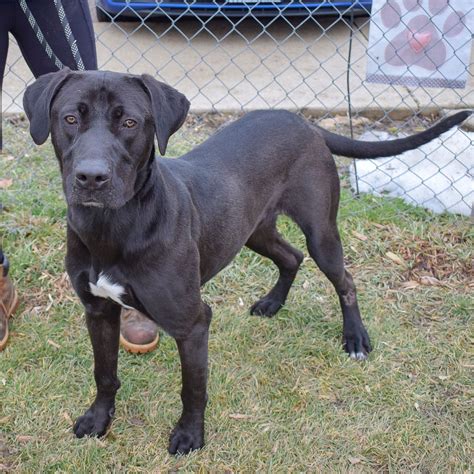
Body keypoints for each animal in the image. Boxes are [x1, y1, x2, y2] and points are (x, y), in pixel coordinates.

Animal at [23, 69, 470, 452]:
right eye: (70, 118)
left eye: (130, 123)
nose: (90, 177)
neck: (112, 228)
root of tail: (301, 121)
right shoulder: (97, 310)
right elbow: (104, 374)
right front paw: (99, 420)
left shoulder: (192, 323)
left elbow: (193, 387)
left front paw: (190, 436)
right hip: (253, 230)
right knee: (291, 257)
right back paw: (273, 303)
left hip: (321, 232)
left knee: (343, 280)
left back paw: (355, 338)